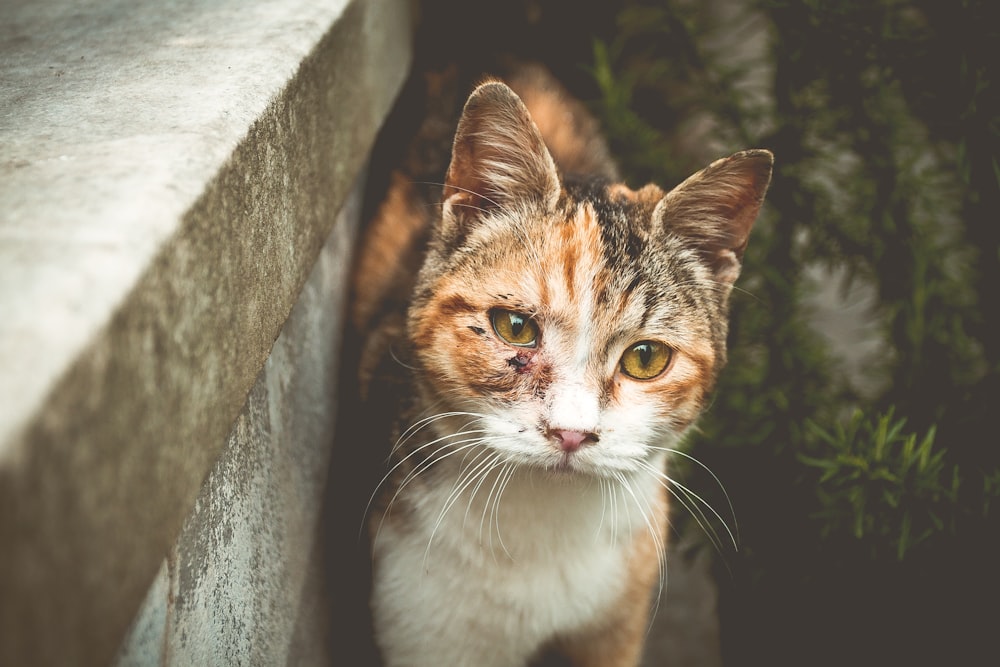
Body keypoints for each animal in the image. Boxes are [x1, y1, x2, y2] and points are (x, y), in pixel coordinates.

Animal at [352, 64, 772, 667]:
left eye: (646, 358)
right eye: (514, 327)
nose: (571, 433)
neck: (543, 528)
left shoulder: (617, 619)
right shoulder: (423, 623)